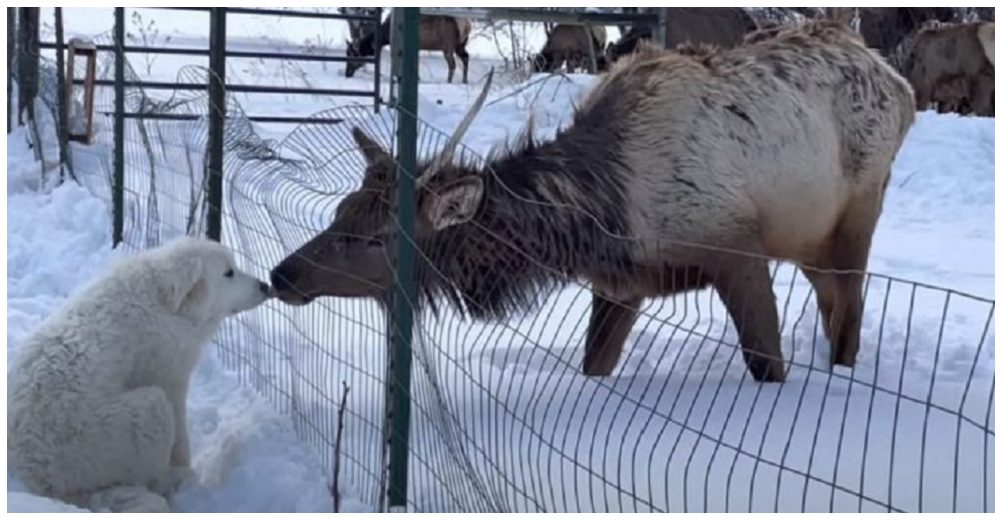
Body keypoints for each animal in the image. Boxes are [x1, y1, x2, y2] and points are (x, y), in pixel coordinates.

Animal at [7, 238, 272, 512]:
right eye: (228, 273)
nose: (266, 286)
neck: (164, 304)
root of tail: (43, 480)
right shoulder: (169, 380)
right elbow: (181, 441)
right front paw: (186, 469)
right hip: (148, 409)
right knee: (150, 477)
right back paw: (175, 481)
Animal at [344, 12, 472, 83]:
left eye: (352, 55)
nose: (346, 74)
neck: (386, 36)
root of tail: (467, 25)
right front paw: (417, 78)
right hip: (460, 45)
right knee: (466, 57)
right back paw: (464, 80)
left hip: (448, 45)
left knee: (452, 64)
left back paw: (449, 81)